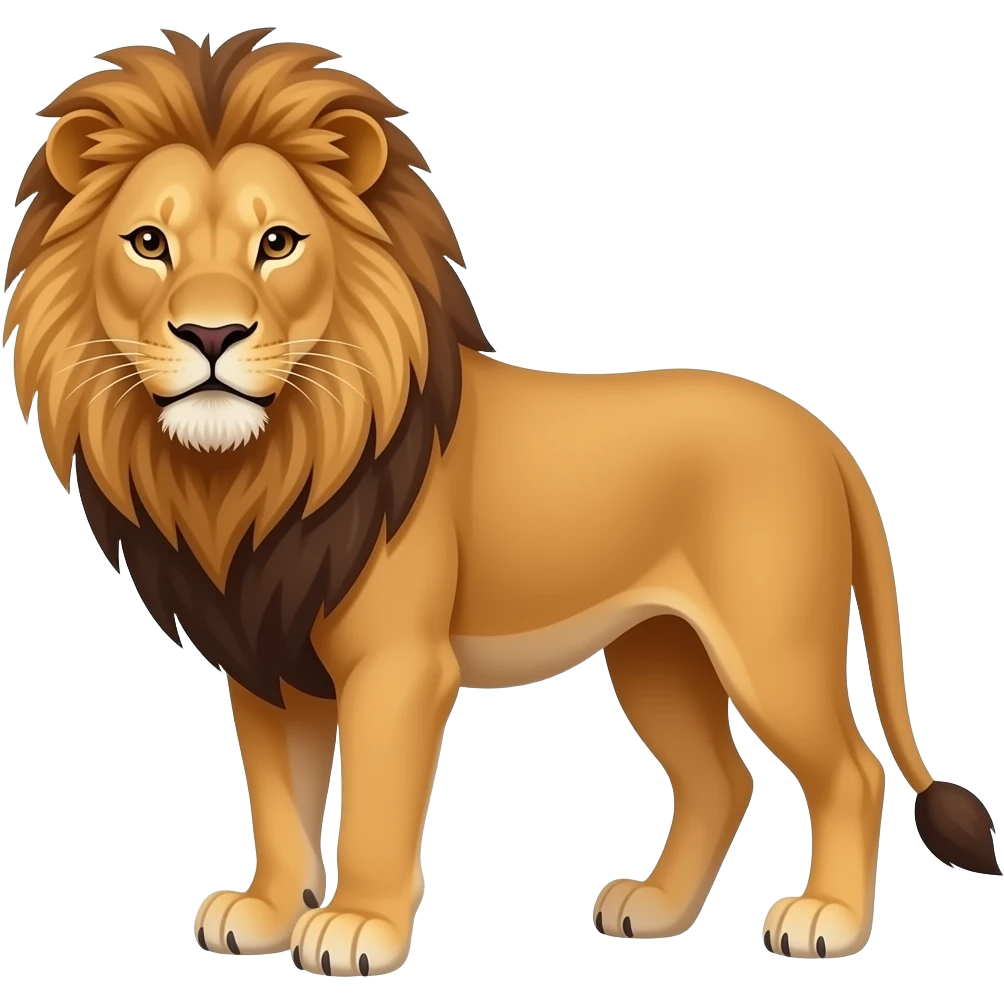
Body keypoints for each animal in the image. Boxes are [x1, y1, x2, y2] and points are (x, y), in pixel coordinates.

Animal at [4, 27, 999, 976]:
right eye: (149, 243)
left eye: (277, 243)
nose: (211, 333)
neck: (252, 470)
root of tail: (823, 436)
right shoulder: (267, 660)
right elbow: (280, 801)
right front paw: (267, 910)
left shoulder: (398, 665)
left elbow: (374, 805)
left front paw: (357, 927)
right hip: (659, 651)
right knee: (722, 781)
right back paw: (656, 911)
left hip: (771, 646)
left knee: (852, 772)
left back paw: (826, 920)